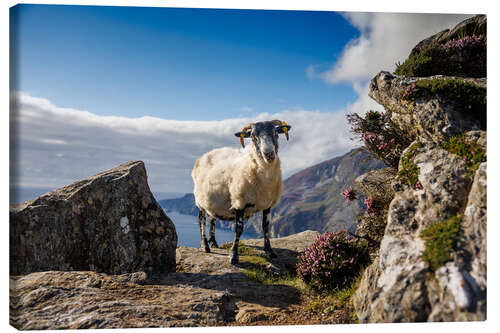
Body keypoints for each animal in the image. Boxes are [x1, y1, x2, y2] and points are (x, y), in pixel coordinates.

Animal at [191, 120, 292, 264]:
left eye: (276, 132)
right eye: (253, 136)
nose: (269, 154)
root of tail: (206, 154)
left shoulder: (267, 204)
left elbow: (266, 227)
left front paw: (269, 251)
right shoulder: (239, 201)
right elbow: (239, 228)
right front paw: (233, 255)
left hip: (213, 201)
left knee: (212, 219)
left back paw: (213, 242)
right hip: (200, 200)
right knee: (201, 221)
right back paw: (205, 245)